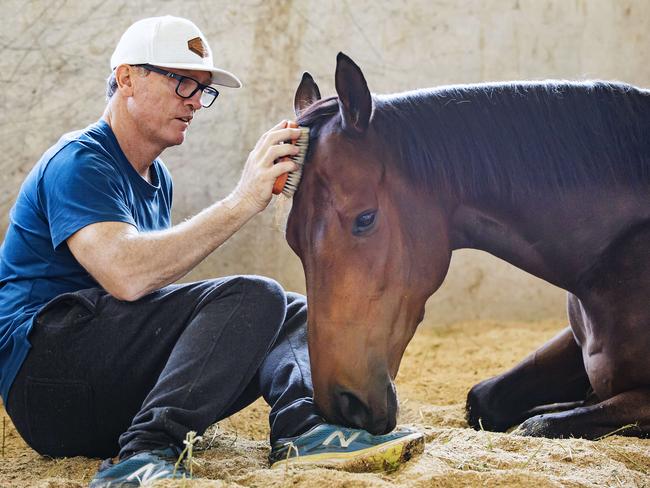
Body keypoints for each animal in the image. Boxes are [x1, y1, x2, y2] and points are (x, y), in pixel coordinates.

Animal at [286, 52, 648, 438]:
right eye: (292, 239)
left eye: (365, 219)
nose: (343, 406)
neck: (615, 251)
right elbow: (484, 398)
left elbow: (539, 424)